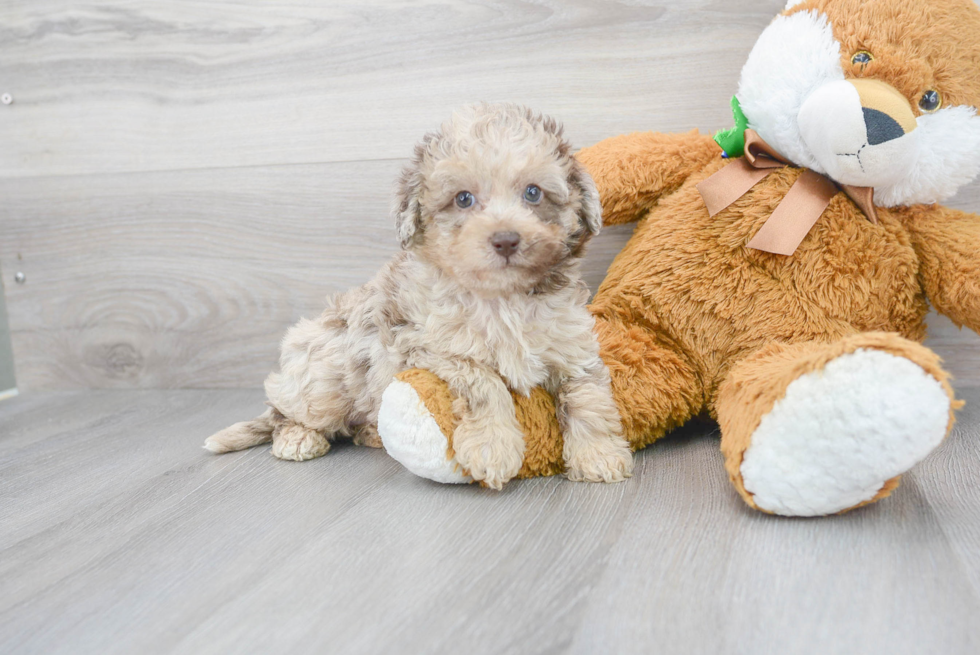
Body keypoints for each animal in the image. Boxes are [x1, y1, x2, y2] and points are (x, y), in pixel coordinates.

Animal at [208, 104, 636, 486]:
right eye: (463, 199)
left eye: (533, 193)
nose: (506, 240)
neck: (502, 298)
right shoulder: (430, 347)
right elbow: (484, 382)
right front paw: (492, 448)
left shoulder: (573, 345)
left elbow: (588, 397)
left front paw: (598, 456)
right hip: (321, 374)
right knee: (286, 411)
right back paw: (298, 437)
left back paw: (371, 432)